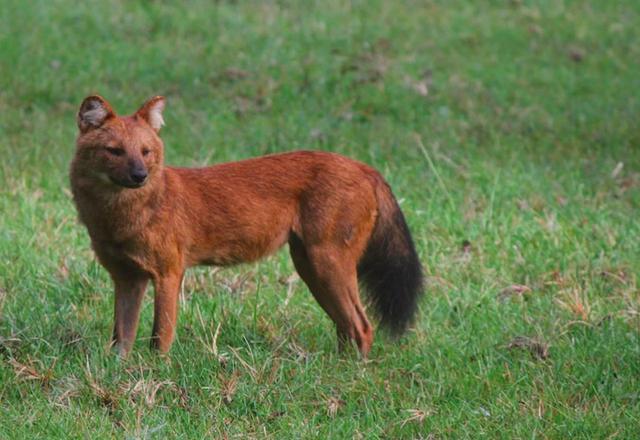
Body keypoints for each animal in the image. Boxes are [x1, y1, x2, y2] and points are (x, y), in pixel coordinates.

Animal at [70, 95, 422, 358]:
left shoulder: (169, 273)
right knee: (346, 326)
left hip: (327, 263)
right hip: (311, 267)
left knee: (362, 327)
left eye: (146, 152)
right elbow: (120, 339)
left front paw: (156, 374)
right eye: (115, 151)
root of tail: (366, 168)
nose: (140, 175)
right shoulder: (127, 278)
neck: (120, 217)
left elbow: (160, 336)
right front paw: (121, 374)